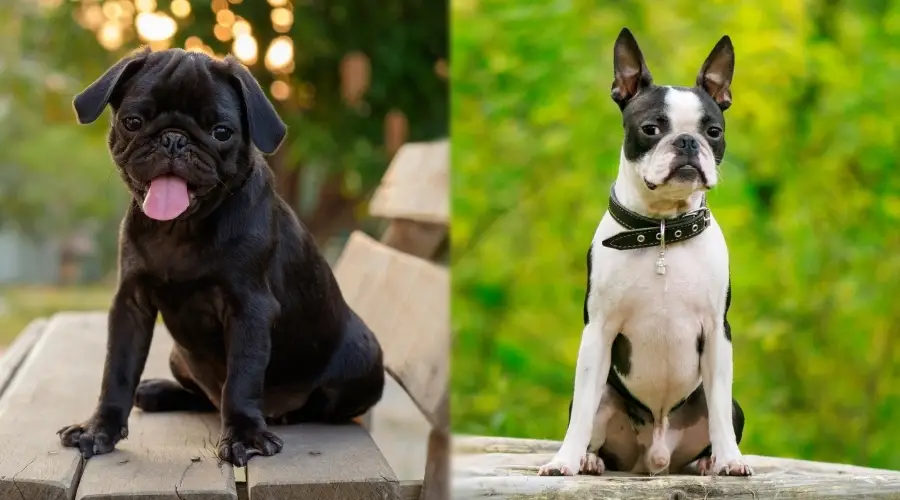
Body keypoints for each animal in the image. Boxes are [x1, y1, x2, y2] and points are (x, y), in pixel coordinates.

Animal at [540, 29, 752, 478]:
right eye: (651, 128)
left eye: (714, 131)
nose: (687, 141)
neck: (660, 233)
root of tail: (655, 457)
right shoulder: (598, 331)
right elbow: (581, 411)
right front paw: (564, 461)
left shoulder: (717, 332)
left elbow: (720, 411)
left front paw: (730, 460)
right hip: (609, 399)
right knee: (593, 416)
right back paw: (588, 459)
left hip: (725, 405)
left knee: (722, 411)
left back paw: (707, 461)